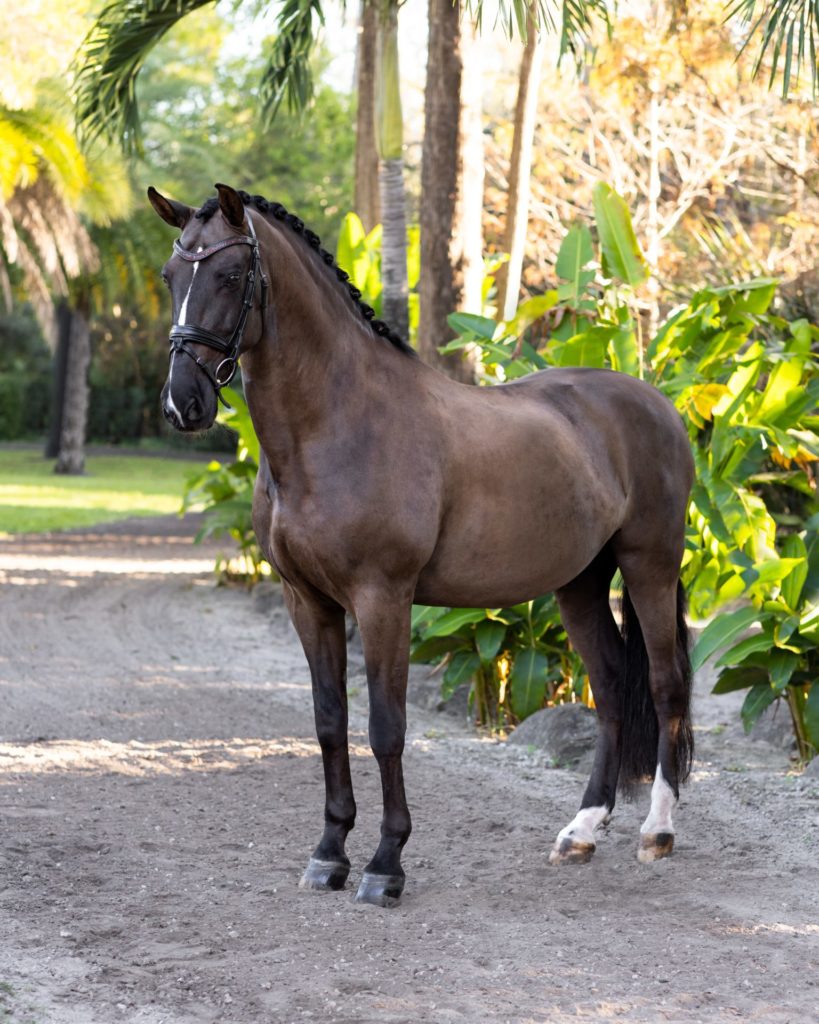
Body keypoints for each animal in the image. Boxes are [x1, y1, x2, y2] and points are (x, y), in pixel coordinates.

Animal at [150, 182, 696, 905]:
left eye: (232, 276)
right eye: (170, 275)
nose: (182, 403)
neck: (339, 423)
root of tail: (657, 405)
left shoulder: (383, 598)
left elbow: (386, 728)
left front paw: (386, 865)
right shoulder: (308, 601)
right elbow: (329, 723)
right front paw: (329, 854)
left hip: (648, 567)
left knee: (663, 686)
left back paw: (656, 832)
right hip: (579, 582)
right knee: (608, 686)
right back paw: (580, 832)